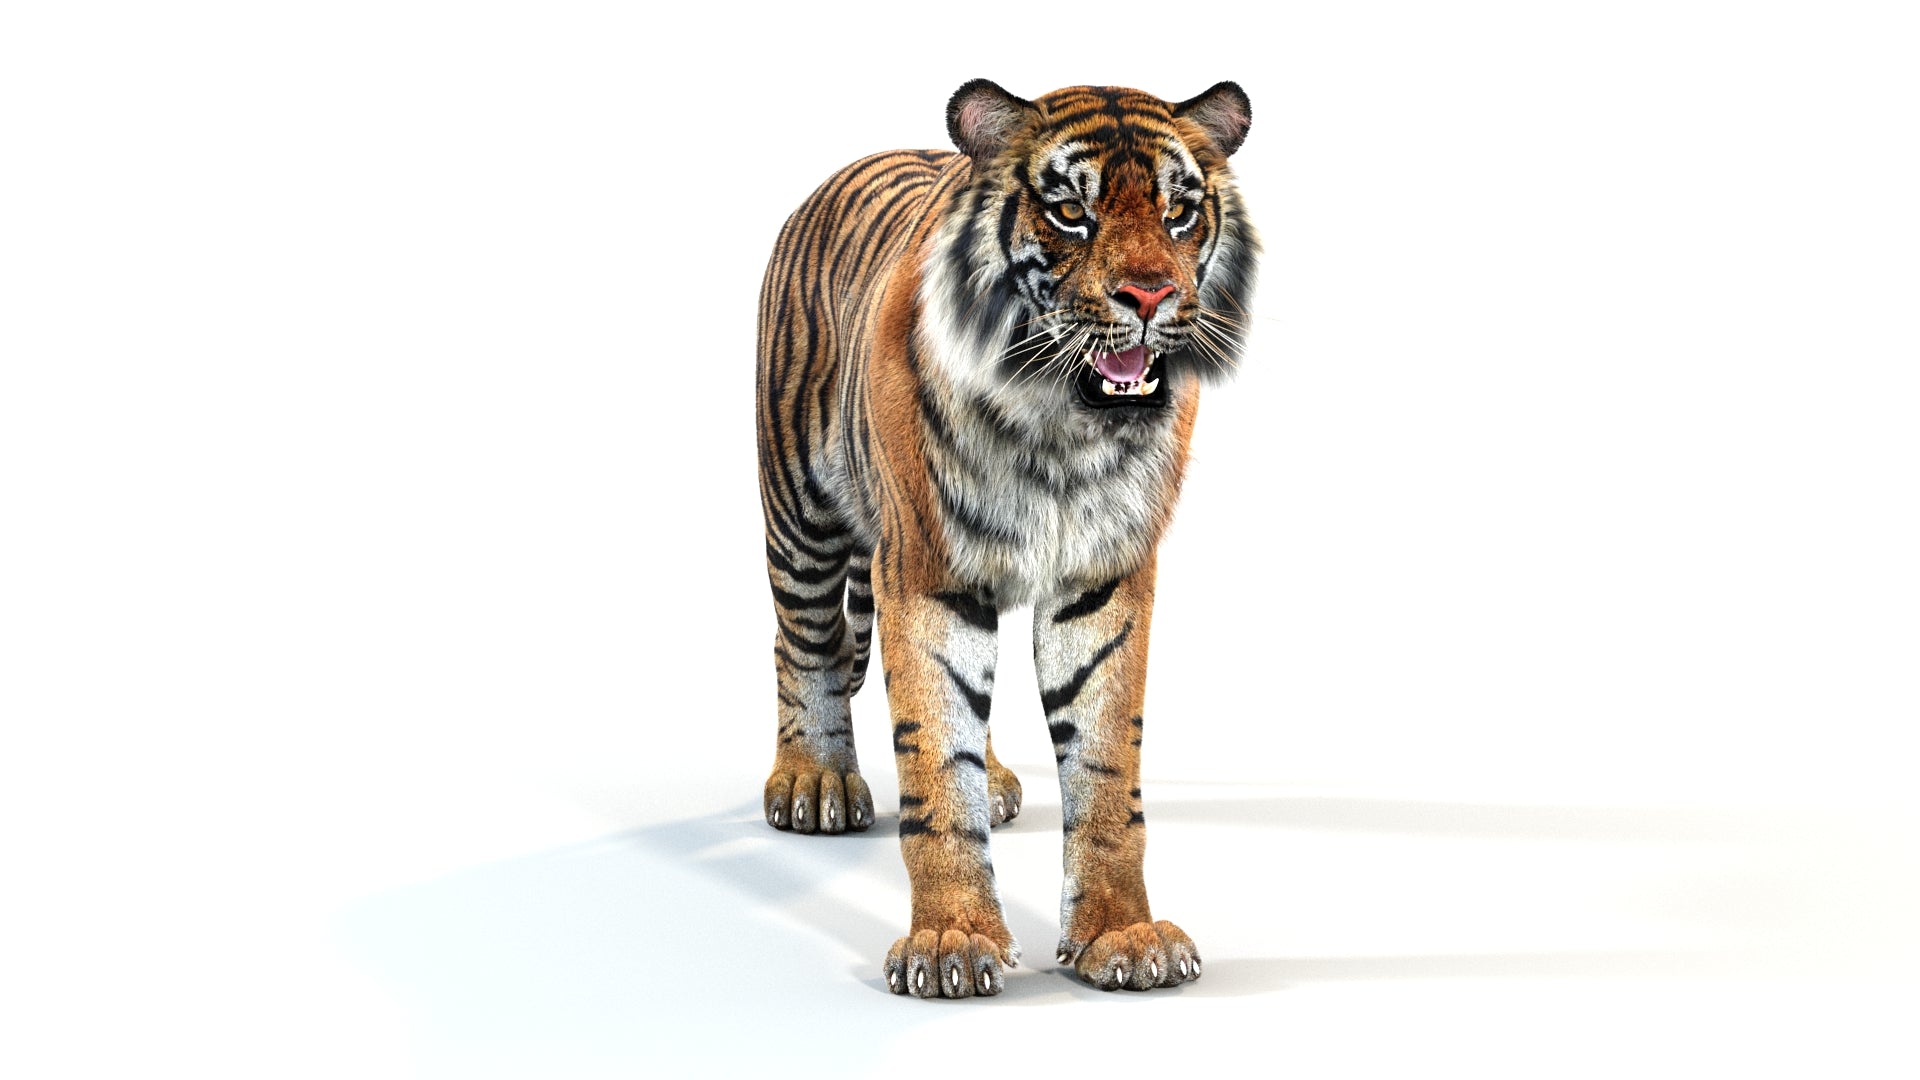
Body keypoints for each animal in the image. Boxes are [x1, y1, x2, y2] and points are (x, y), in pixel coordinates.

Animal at [755, 79, 1258, 997]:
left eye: (1178, 212)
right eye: (1069, 212)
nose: (1150, 298)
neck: (1057, 423)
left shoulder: (1105, 576)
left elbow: (1105, 764)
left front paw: (1120, 934)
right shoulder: (922, 565)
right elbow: (930, 756)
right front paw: (951, 942)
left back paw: (988, 779)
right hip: (799, 508)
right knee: (803, 642)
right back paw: (815, 781)